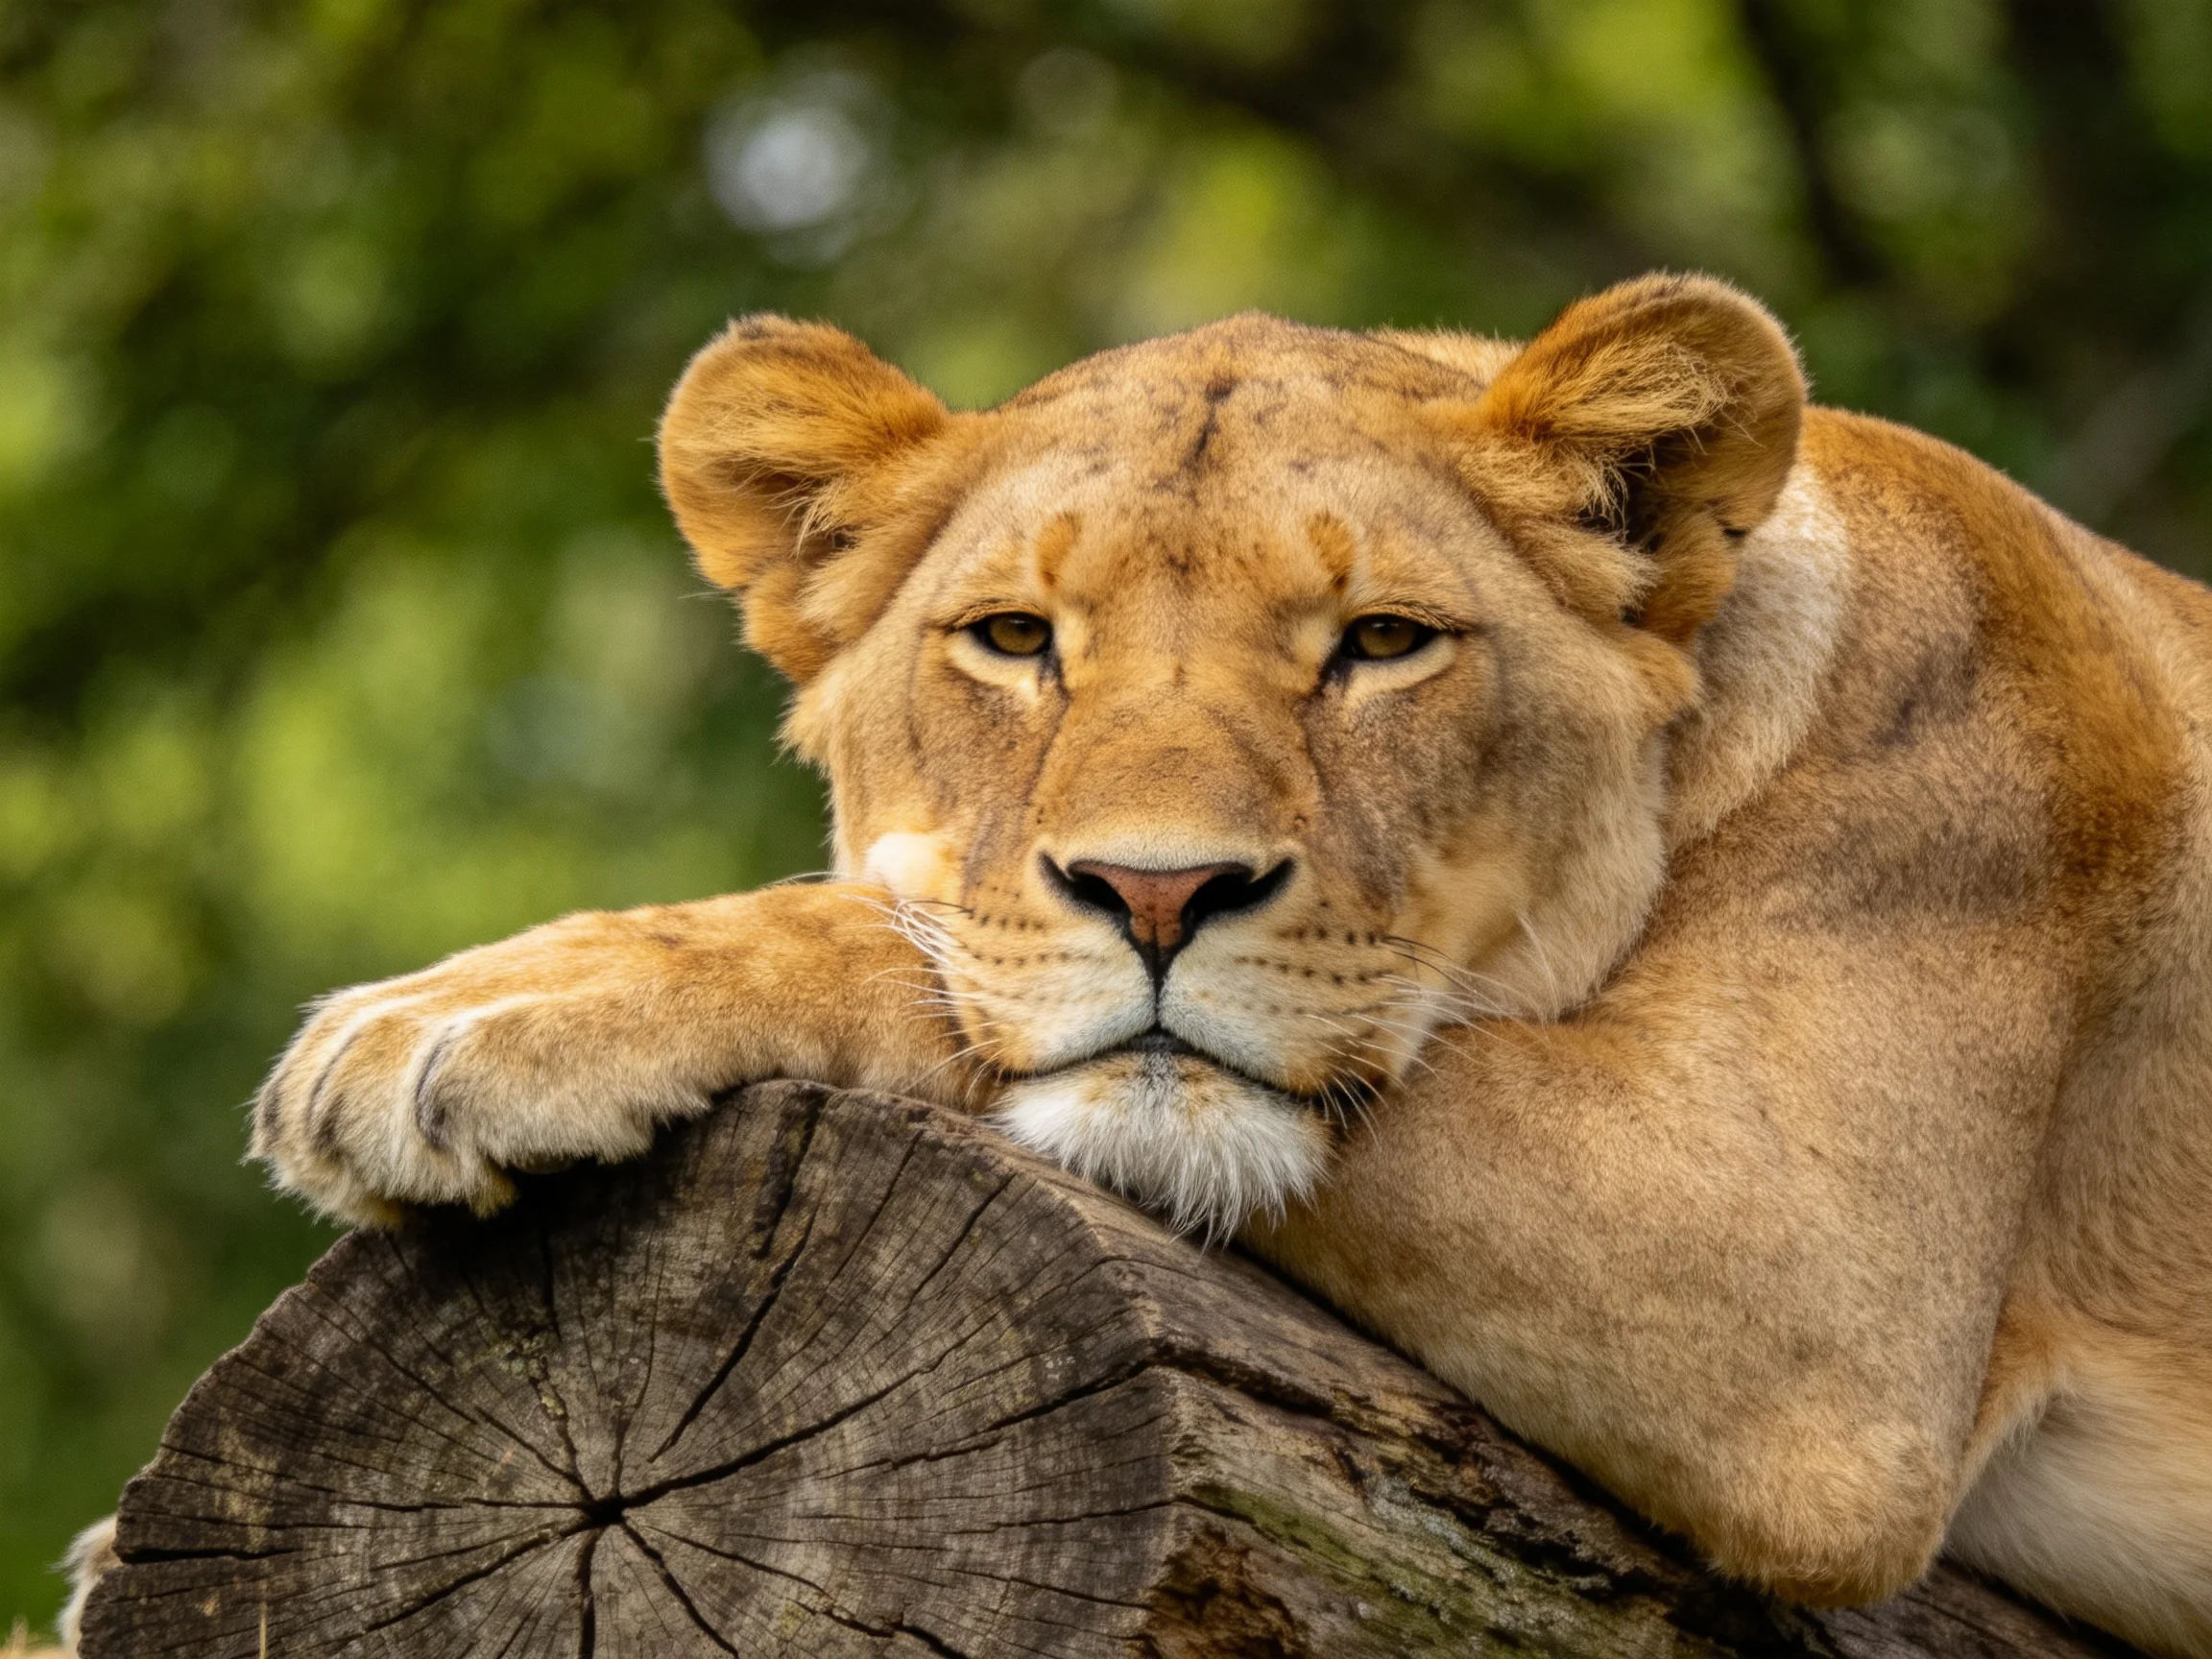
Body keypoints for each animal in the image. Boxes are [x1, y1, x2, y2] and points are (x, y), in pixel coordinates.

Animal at [63, 275, 2212, 1657]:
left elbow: (898, 943)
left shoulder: (1812, 1303)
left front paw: (476, 1014)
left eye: (1380, 644)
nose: (1157, 892)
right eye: (1015, 640)